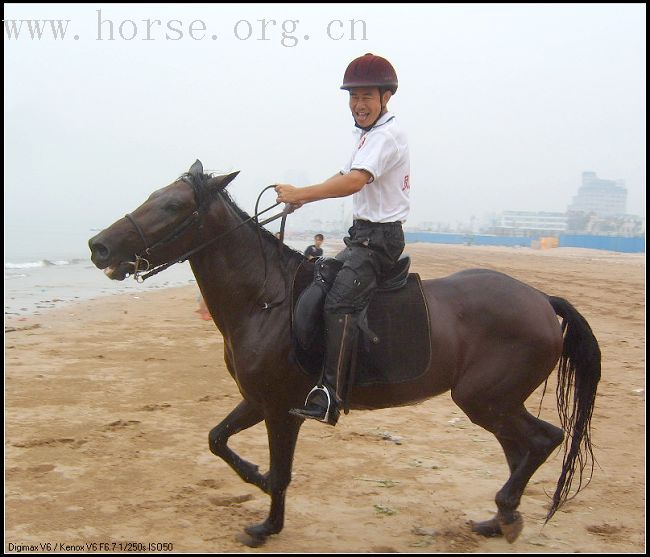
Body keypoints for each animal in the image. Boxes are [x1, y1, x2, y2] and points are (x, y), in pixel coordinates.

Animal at [88, 160, 600, 544]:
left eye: (173, 205)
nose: (99, 246)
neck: (265, 299)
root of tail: (541, 300)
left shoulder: (281, 410)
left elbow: (280, 472)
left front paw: (267, 525)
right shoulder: (258, 400)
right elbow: (218, 440)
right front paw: (255, 479)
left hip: (485, 400)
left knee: (542, 440)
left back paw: (506, 511)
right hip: (495, 404)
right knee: (521, 450)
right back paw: (499, 520)